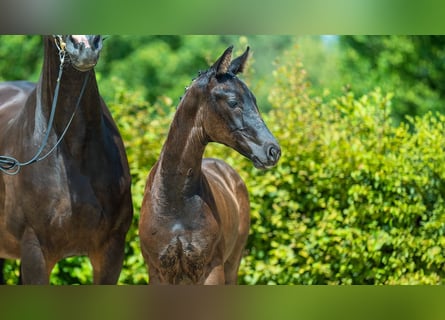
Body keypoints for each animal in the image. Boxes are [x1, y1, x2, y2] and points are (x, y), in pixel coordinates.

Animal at [139, 46, 280, 284]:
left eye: (255, 101)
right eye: (233, 102)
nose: (273, 151)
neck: (174, 200)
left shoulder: (212, 269)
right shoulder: (158, 272)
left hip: (233, 264)